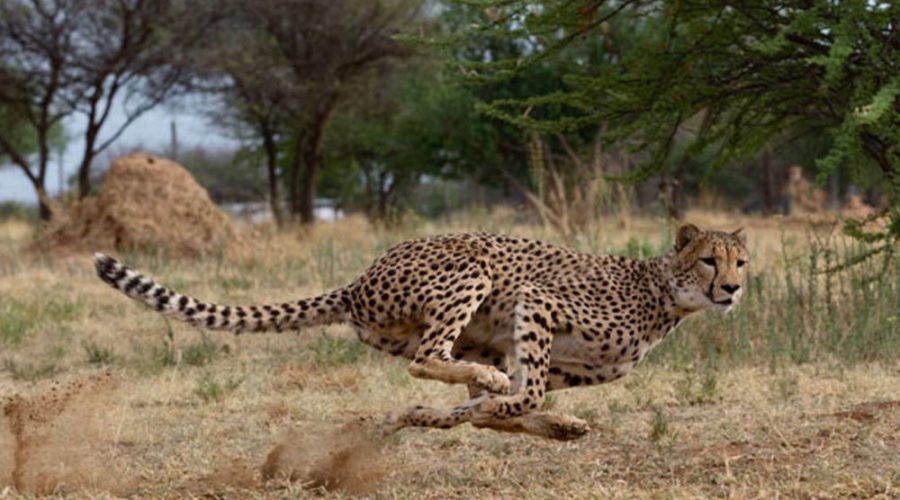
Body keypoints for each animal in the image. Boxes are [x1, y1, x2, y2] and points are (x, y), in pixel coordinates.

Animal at [95, 225, 748, 440]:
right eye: (709, 261)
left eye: (741, 261)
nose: (733, 290)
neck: (666, 294)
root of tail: (357, 282)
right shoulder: (537, 301)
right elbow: (520, 396)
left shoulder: (551, 356)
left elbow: (501, 408)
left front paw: (419, 417)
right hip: (474, 270)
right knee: (431, 358)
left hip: (473, 330)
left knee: (464, 380)